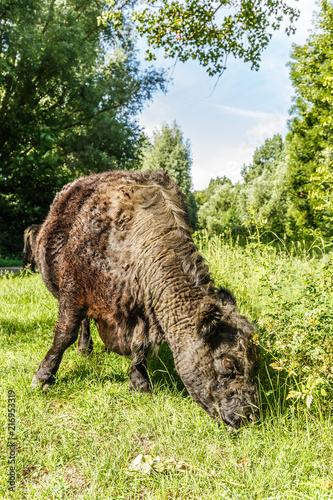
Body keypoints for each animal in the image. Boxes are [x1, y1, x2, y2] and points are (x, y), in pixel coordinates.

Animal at [31, 170, 260, 428]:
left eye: (255, 363)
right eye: (228, 363)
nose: (250, 416)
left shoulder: (142, 311)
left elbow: (140, 348)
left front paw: (140, 384)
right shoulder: (73, 291)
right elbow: (63, 335)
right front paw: (43, 377)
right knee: (82, 325)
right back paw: (84, 349)